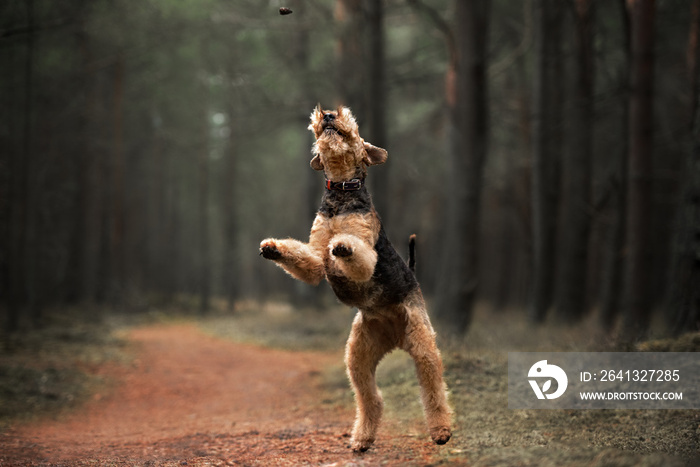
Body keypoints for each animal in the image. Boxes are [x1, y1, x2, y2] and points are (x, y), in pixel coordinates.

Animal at [260, 106, 452, 454]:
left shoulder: (365, 251)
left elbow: (355, 251)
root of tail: (394, 336)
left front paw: (343, 246)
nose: (329, 114)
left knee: (434, 388)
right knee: (371, 398)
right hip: (358, 356)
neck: (341, 193)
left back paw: (441, 431)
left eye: (351, 117)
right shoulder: (315, 256)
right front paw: (272, 247)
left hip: (422, 341)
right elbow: (306, 259)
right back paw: (362, 438)